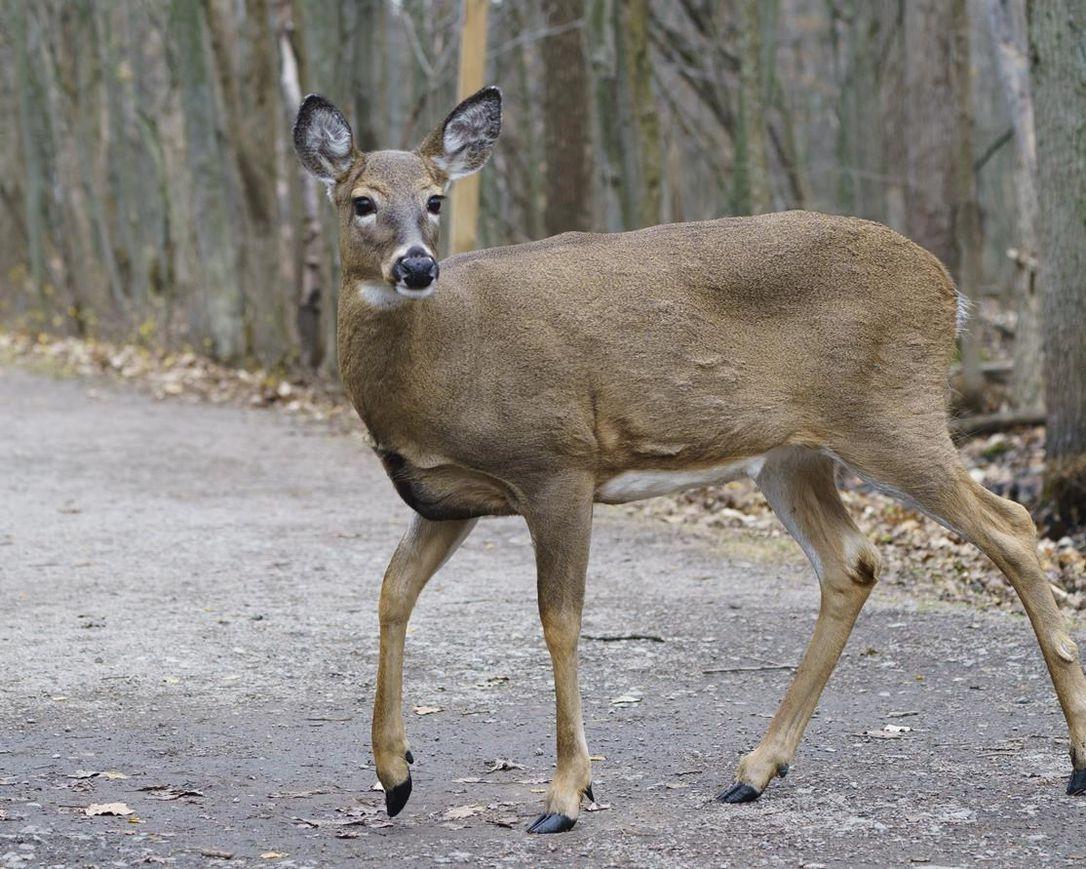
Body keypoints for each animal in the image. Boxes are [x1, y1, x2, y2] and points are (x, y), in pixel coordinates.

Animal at [292, 85, 1086, 834]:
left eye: (434, 199)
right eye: (362, 202)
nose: (417, 266)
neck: (441, 364)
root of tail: (951, 291)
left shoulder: (556, 461)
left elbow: (559, 620)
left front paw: (565, 795)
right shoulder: (451, 496)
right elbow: (392, 591)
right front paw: (395, 774)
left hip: (891, 416)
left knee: (1012, 524)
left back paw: (1077, 762)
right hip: (791, 456)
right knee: (852, 562)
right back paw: (755, 770)